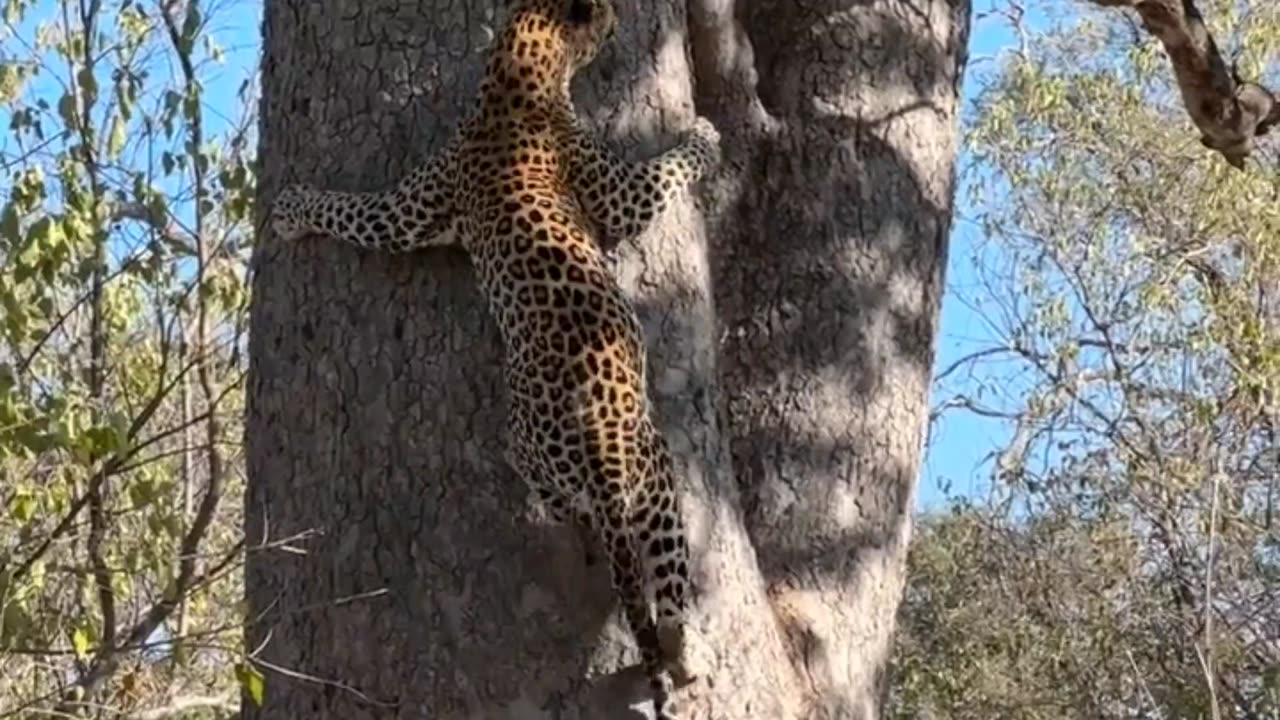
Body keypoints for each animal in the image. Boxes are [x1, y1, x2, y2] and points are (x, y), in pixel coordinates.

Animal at [267, 0, 721, 712]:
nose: (619, 16)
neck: (518, 73)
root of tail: (597, 441)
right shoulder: (612, 198)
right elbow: (667, 169)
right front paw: (705, 131)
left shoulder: (414, 210)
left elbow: (353, 210)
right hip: (646, 478)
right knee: (648, 585)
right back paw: (683, 648)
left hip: (622, 477)